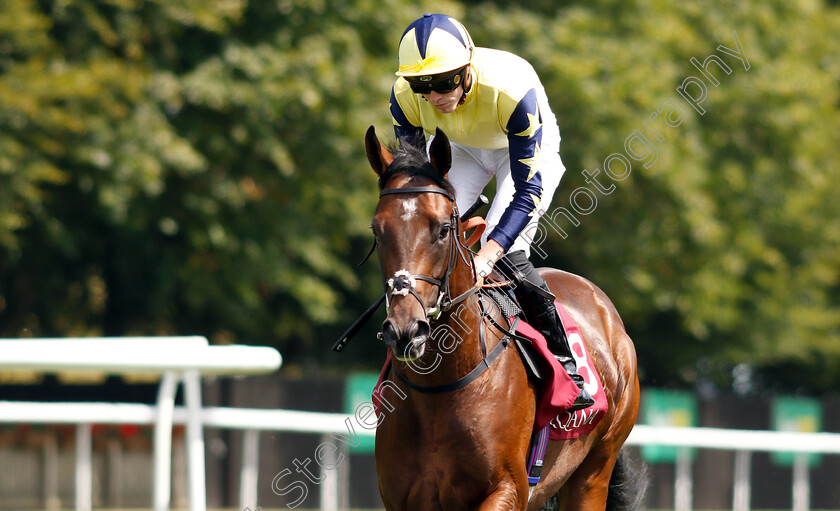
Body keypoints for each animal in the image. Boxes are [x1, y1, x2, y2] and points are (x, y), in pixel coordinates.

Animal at [368, 125, 644, 511]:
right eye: (377, 230)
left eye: (442, 229)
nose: (406, 330)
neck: (440, 385)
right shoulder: (400, 497)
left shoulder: (509, 488)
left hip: (595, 470)